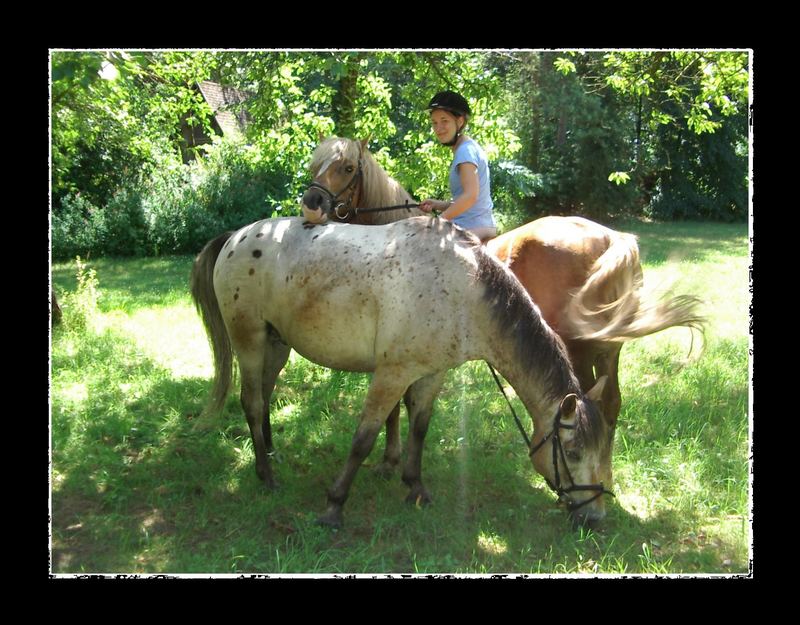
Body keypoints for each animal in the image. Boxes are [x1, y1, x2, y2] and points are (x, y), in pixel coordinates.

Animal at [191, 216, 616, 528]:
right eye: (573, 452)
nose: (595, 517)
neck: (464, 291)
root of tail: (235, 237)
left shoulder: (431, 374)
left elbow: (419, 429)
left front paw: (415, 487)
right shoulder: (392, 374)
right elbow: (364, 439)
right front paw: (334, 505)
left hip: (276, 345)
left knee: (264, 397)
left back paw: (270, 451)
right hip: (249, 341)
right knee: (251, 401)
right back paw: (266, 475)